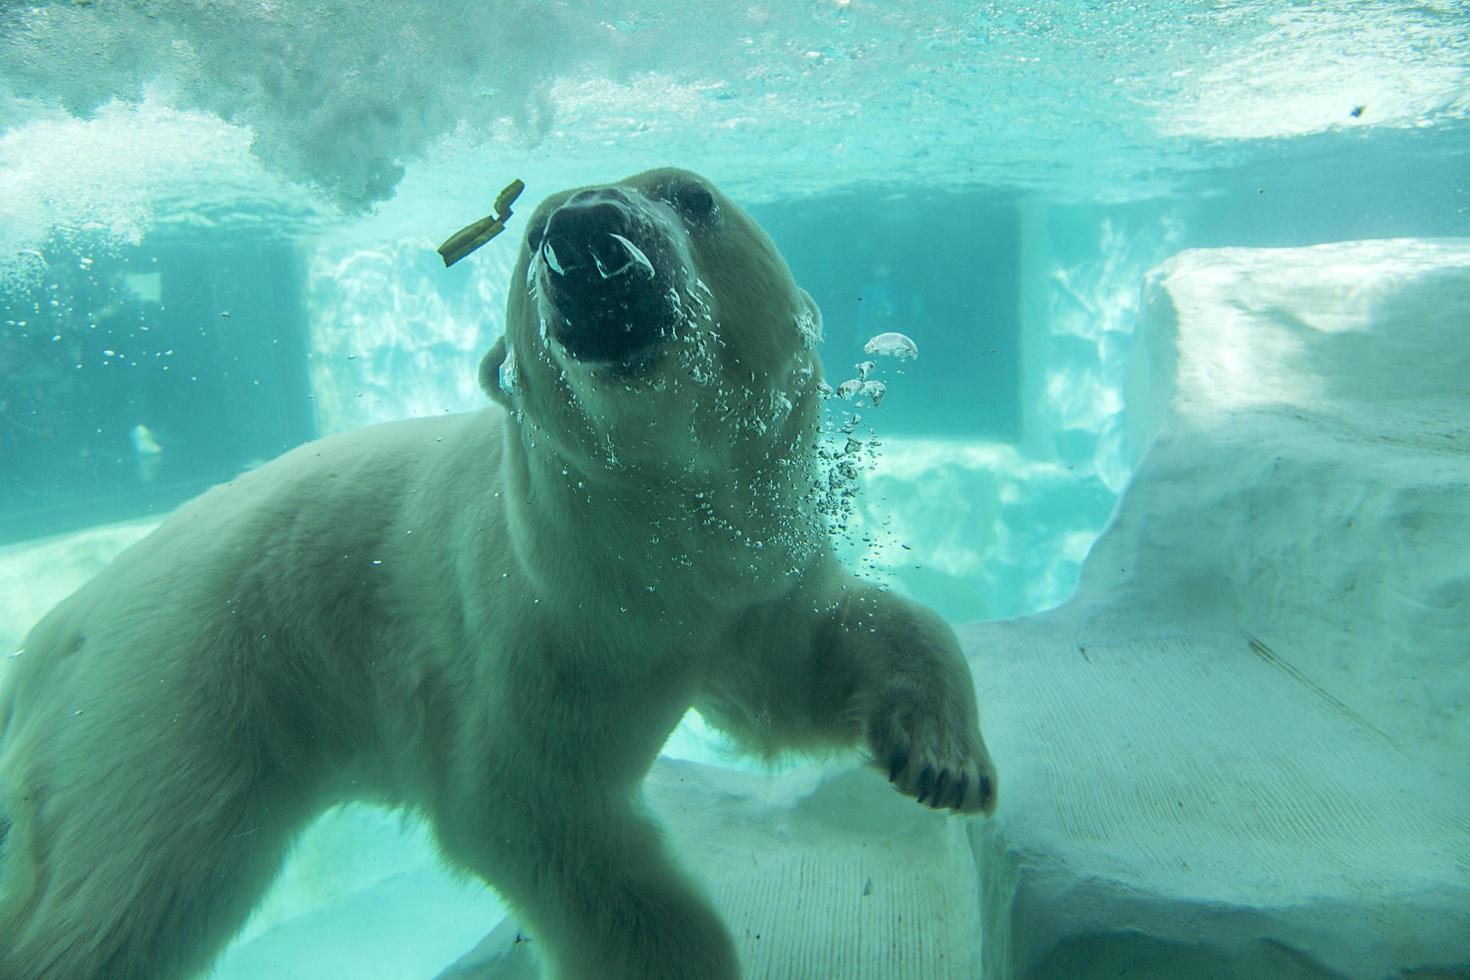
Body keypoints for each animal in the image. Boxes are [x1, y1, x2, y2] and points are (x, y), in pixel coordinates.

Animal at [0, 170, 999, 980]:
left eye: (693, 196)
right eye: (527, 235)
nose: (583, 230)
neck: (655, 546)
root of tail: (54, 630)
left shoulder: (740, 585)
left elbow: (799, 673)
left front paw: (942, 760)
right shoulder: (546, 630)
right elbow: (531, 806)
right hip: (183, 684)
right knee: (138, 888)